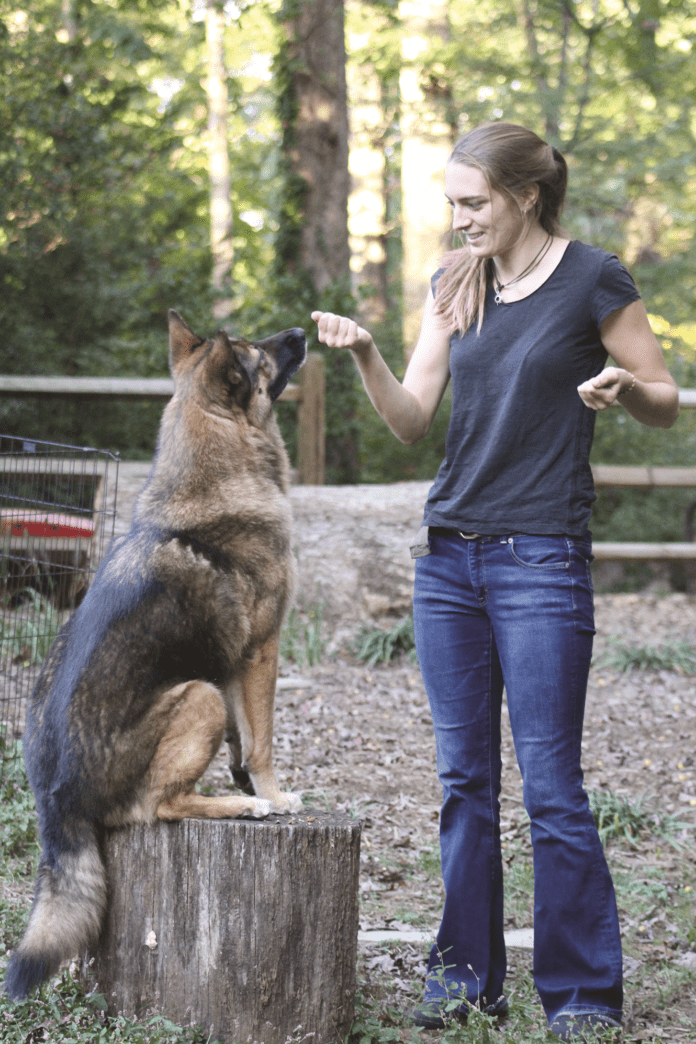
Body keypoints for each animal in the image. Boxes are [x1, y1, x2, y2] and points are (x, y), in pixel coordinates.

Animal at [4, 311, 306, 1002]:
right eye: (257, 355)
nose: (302, 333)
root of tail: (55, 802)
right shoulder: (258, 654)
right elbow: (263, 742)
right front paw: (271, 794)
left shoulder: (231, 667)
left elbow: (245, 739)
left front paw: (246, 777)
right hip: (195, 694)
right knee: (158, 807)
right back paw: (239, 807)